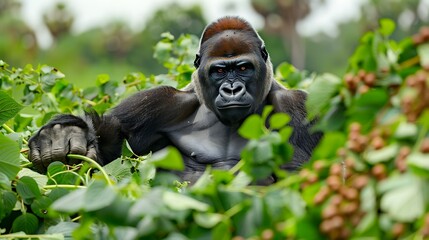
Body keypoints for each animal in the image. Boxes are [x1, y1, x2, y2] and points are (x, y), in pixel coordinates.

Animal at [27, 15, 320, 183]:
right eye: (219, 71)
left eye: (243, 68)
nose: (232, 89)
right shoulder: (158, 103)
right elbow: (108, 153)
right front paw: (63, 134)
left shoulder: (298, 106)